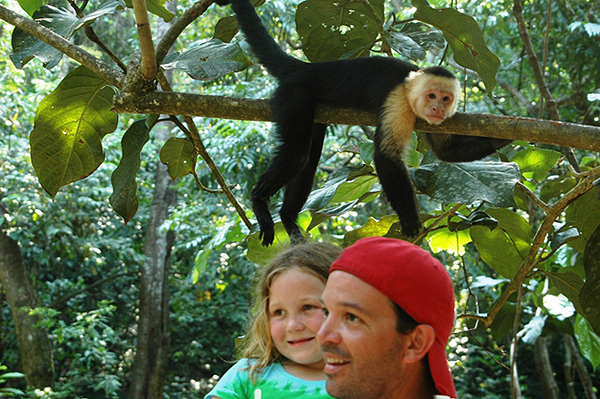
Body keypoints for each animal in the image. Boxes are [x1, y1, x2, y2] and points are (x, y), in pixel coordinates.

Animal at [216, 0, 510, 247]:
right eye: (431, 96)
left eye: (446, 98)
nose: (437, 108)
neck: (410, 91)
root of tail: (304, 68)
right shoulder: (397, 101)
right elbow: (385, 156)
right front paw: (409, 219)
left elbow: (446, 152)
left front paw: (508, 137)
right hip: (294, 95)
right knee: (298, 153)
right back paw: (259, 201)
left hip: (315, 109)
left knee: (309, 157)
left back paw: (288, 218)